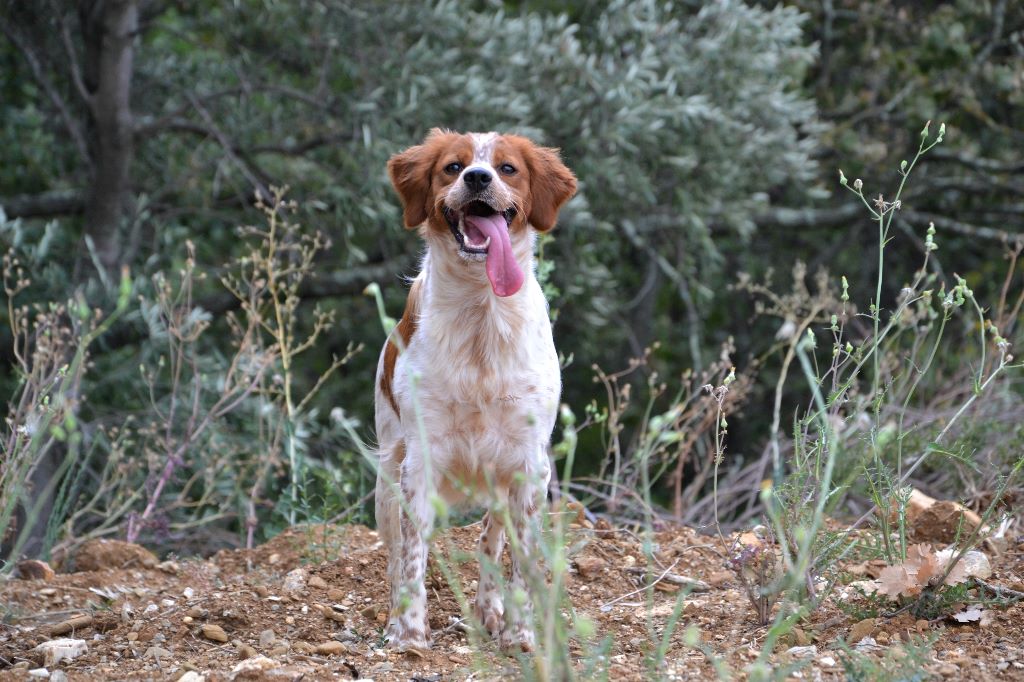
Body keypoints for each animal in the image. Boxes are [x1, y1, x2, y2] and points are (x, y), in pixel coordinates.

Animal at [376, 129, 581, 647]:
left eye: (507, 168)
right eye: (453, 166)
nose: (477, 178)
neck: (481, 314)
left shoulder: (529, 466)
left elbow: (520, 561)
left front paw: (520, 634)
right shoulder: (420, 460)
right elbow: (412, 555)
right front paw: (409, 635)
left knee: (490, 540)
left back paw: (490, 612)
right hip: (386, 473)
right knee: (395, 552)